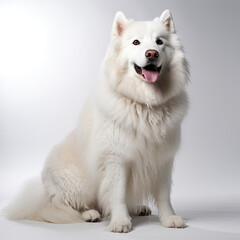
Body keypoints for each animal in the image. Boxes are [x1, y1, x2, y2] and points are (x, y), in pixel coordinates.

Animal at [4, 9, 189, 232]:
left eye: (159, 42)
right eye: (136, 42)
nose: (151, 53)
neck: (144, 103)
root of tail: (43, 192)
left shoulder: (162, 159)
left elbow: (164, 195)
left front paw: (169, 219)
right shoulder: (116, 159)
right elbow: (117, 194)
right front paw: (120, 222)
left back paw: (137, 208)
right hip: (78, 183)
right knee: (64, 204)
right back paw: (90, 214)